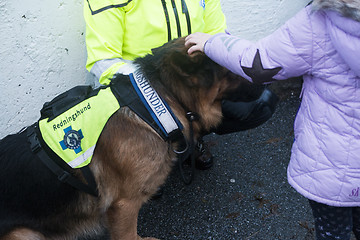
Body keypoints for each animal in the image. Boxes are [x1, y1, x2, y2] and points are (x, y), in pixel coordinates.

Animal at [0, 37, 264, 240]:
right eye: (231, 66)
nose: (266, 80)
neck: (157, 104)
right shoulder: (124, 205)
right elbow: (128, 235)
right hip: (24, 234)